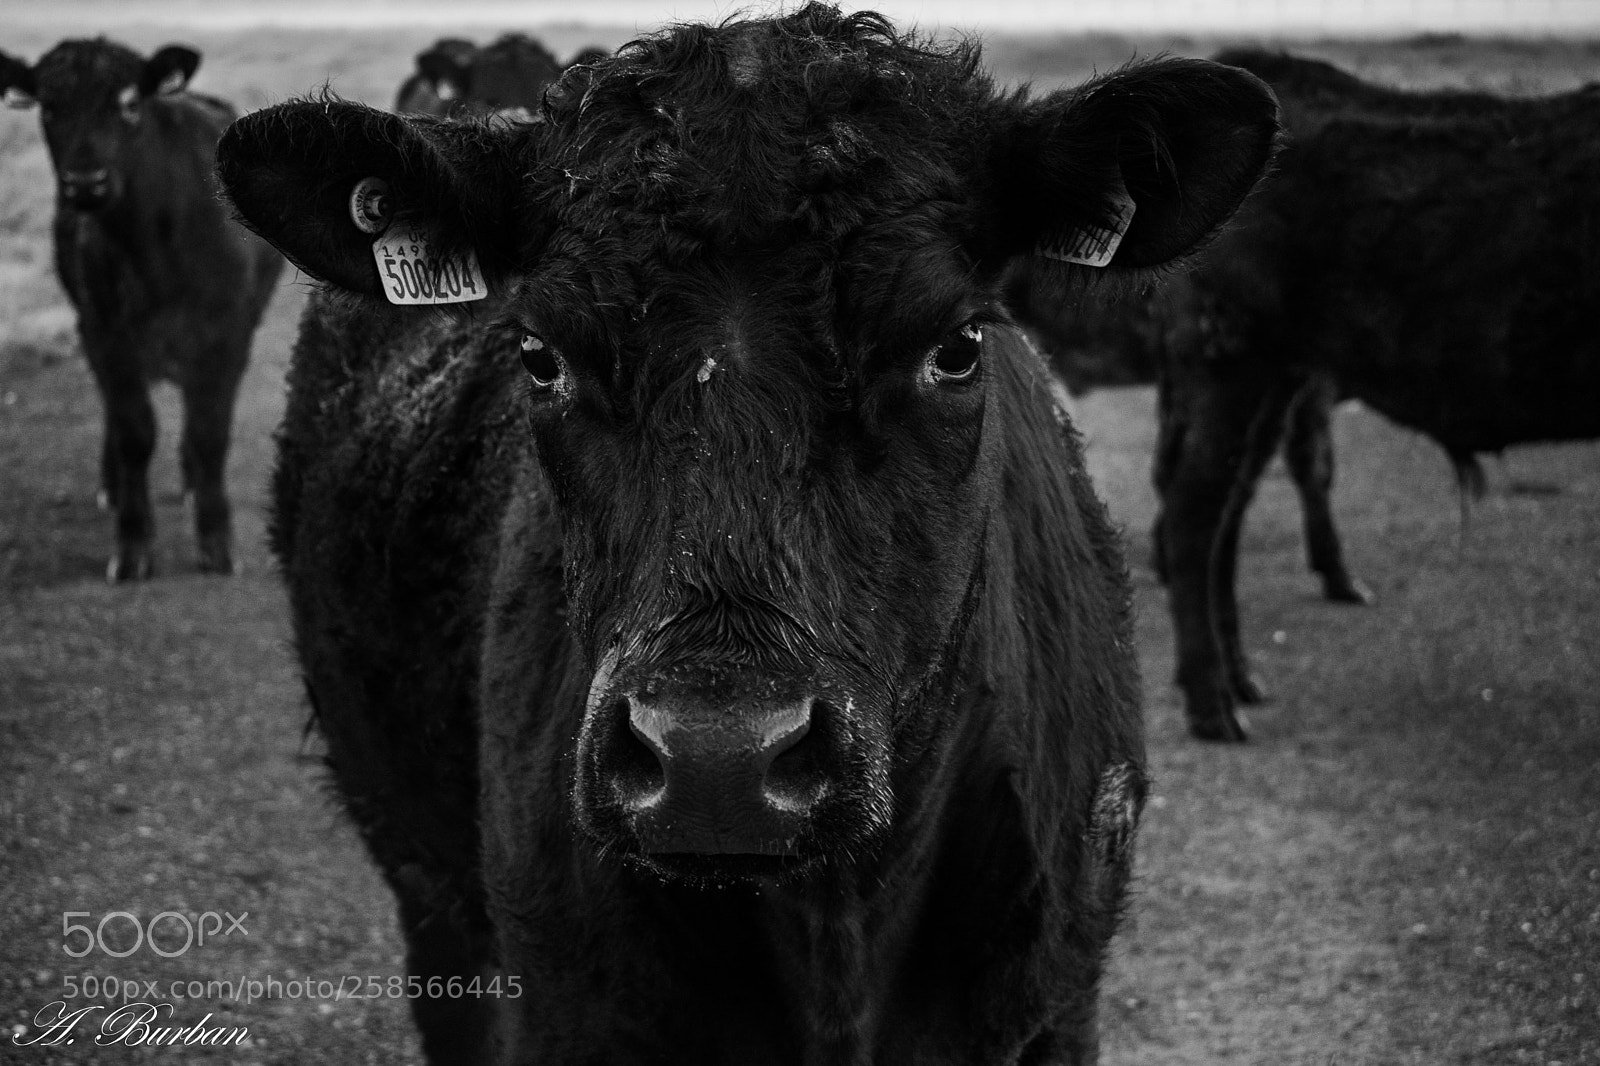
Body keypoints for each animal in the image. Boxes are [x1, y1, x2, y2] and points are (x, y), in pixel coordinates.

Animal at [0, 38, 283, 580]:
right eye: (48, 107)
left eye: (130, 104)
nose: (85, 183)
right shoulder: (106, 332)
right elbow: (135, 432)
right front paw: (132, 545)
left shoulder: (228, 335)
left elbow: (209, 432)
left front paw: (217, 541)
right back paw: (113, 486)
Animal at [1152, 48, 1600, 742]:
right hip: (1230, 360)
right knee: (1195, 513)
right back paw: (1211, 704)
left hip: (1273, 377)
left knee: (1230, 507)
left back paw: (1241, 677)